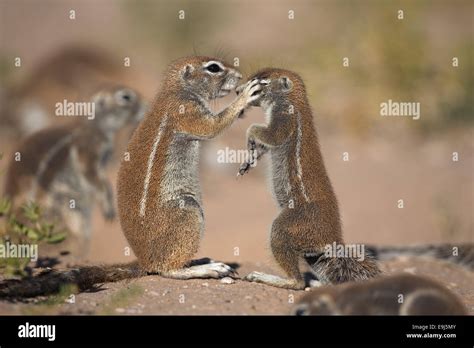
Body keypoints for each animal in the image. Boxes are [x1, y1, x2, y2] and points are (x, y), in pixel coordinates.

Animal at [4, 85, 144, 256]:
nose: (145, 106)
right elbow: (93, 179)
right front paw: (108, 207)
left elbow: (103, 182)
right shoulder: (88, 151)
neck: (92, 125)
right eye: (125, 97)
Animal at [115, 55, 262, 278]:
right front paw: (246, 95)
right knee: (168, 269)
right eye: (213, 68)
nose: (239, 76)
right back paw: (208, 268)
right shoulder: (188, 112)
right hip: (188, 210)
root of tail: (145, 262)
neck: (177, 90)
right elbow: (213, 126)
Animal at [237, 67, 382, 288]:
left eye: (262, 82)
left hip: (287, 228)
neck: (293, 100)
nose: (237, 91)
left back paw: (269, 278)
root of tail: (332, 241)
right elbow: (263, 145)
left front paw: (250, 136)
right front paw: (248, 160)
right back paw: (318, 283)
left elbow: (267, 134)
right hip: (315, 256)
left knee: (298, 282)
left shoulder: (285, 119)